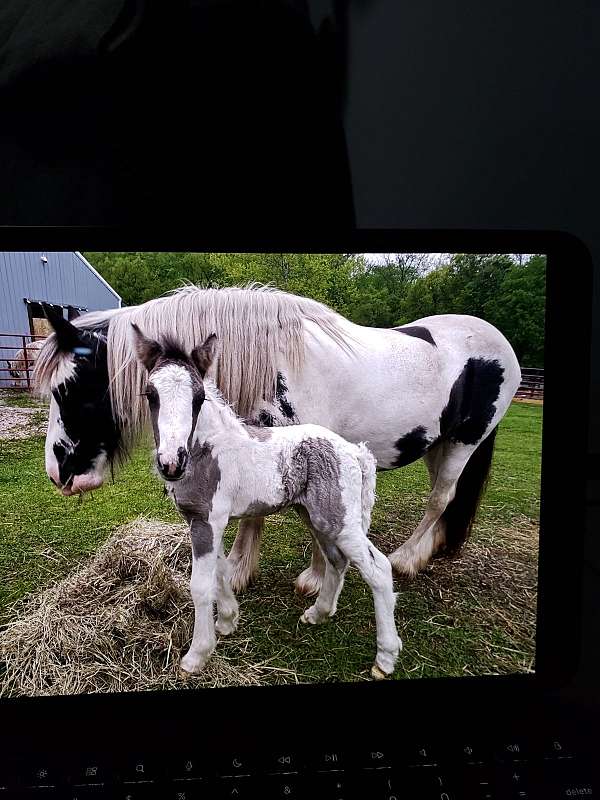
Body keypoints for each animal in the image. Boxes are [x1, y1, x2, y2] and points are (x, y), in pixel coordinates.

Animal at [34, 284, 521, 592]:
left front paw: (315, 578)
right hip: (438, 444)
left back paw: (407, 558)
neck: (273, 363)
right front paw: (237, 571)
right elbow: (254, 512)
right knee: (446, 498)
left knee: (440, 498)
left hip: (464, 442)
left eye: (68, 389)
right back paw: (430, 549)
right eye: (151, 394)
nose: (57, 472)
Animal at [131, 326, 402, 679]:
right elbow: (220, 570)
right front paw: (228, 620)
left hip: (341, 522)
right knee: (336, 562)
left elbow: (201, 585)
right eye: (150, 395)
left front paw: (196, 655)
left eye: (198, 398)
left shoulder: (206, 521)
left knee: (378, 570)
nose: (171, 463)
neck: (207, 450)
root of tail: (354, 451)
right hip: (316, 517)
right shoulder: (208, 524)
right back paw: (318, 613)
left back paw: (385, 658)